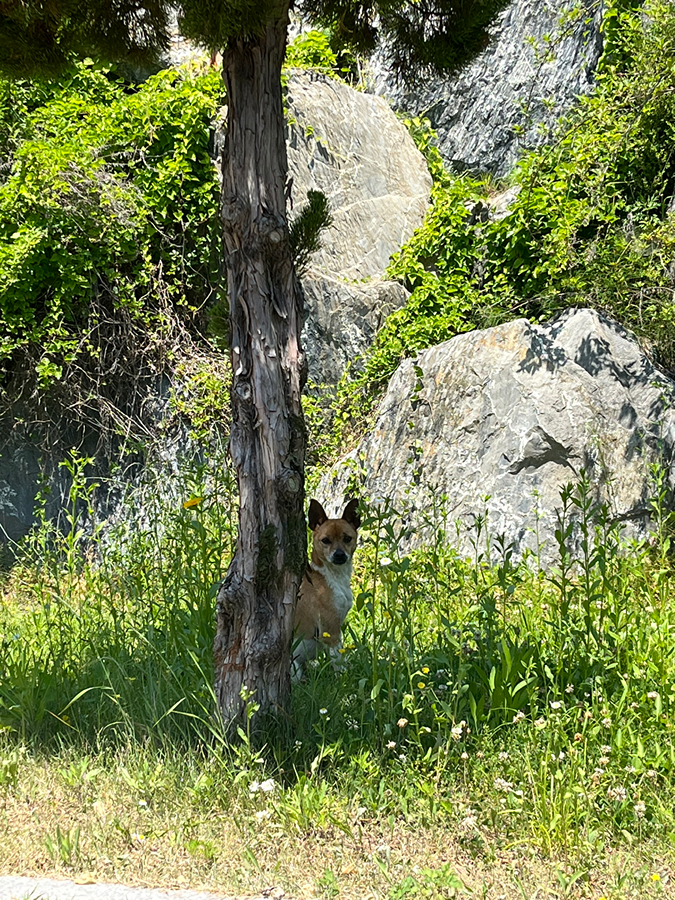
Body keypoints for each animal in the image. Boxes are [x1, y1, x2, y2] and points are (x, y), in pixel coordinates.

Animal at [294, 496, 362, 680]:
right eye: (325, 540)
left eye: (347, 538)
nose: (339, 555)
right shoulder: (331, 631)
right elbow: (338, 660)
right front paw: (344, 680)